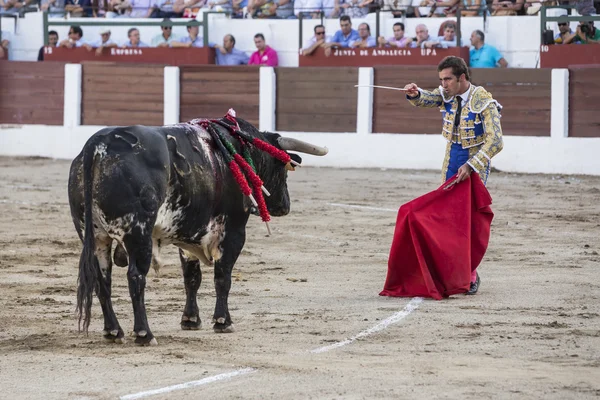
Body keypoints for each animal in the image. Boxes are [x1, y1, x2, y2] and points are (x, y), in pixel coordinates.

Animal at [69, 115, 328, 344]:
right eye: (283, 169)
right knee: (135, 277)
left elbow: (191, 277)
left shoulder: (188, 234)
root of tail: (98, 145)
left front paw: (191, 320)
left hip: (95, 236)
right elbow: (222, 276)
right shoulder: (233, 230)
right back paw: (144, 334)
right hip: (138, 233)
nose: (285, 205)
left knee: (102, 279)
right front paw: (223, 321)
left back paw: (113, 331)